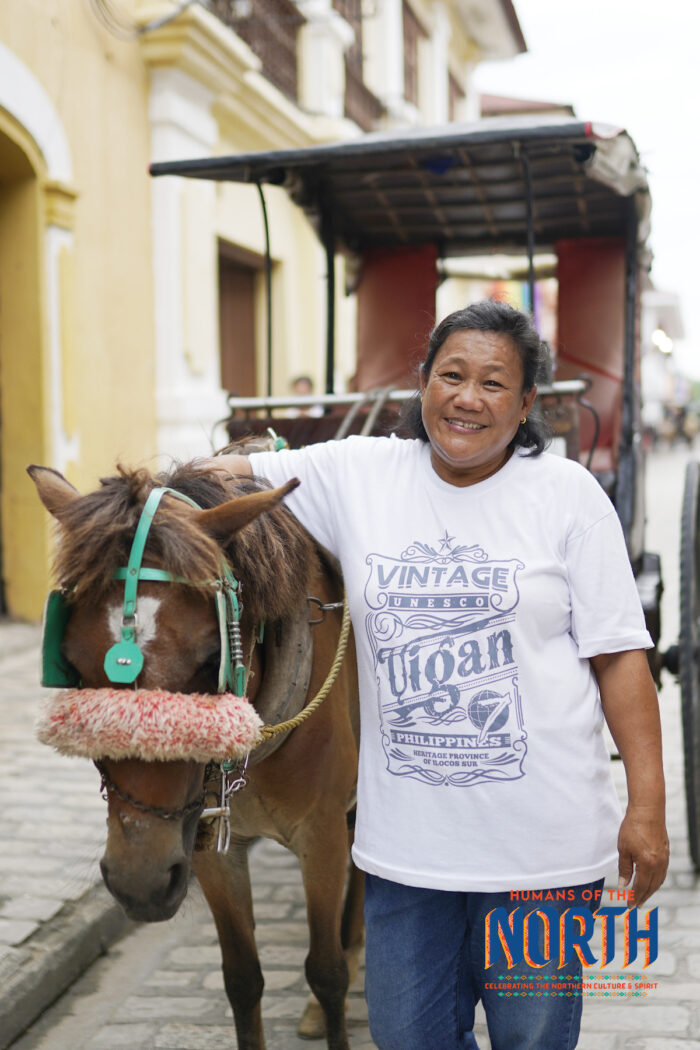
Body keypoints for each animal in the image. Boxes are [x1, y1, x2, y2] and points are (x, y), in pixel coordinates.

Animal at [30, 464, 365, 1050]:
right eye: (70, 662)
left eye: (213, 660)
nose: (137, 881)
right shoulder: (203, 842)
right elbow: (242, 978)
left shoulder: (320, 834)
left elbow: (326, 972)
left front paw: (336, 984)